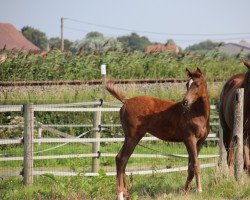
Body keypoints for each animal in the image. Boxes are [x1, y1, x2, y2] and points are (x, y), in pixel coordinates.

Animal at [106, 68, 211, 199]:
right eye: (187, 84)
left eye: (197, 84)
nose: (185, 102)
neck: (196, 113)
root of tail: (125, 101)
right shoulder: (189, 139)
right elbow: (196, 164)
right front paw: (199, 190)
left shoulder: (199, 142)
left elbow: (190, 165)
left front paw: (185, 191)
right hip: (132, 137)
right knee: (121, 159)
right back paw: (120, 194)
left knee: (123, 160)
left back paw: (126, 194)